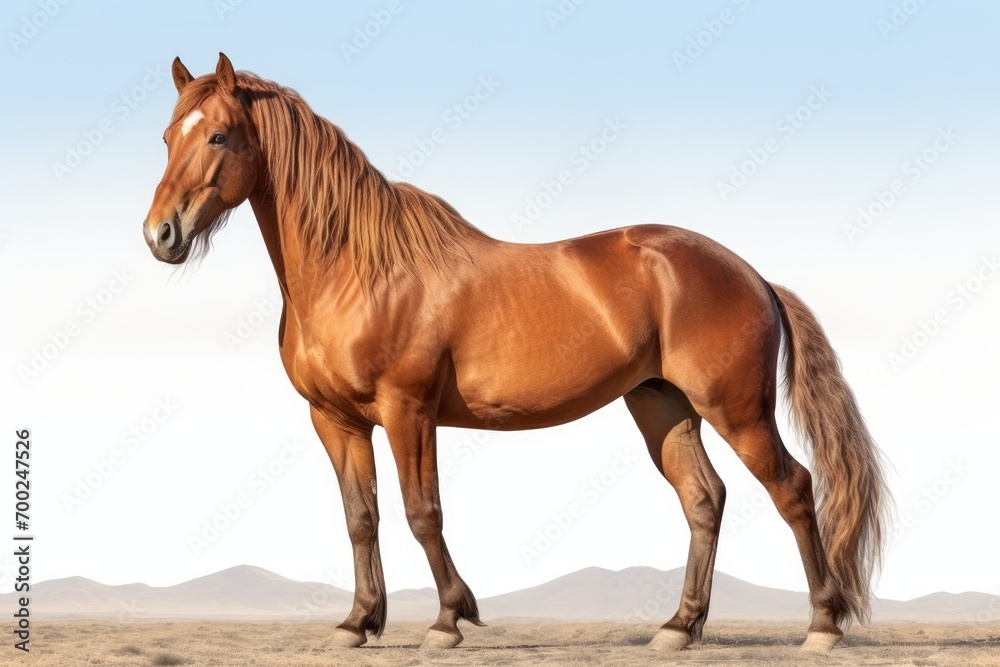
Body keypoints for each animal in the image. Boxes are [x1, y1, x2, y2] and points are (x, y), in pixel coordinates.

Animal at [142, 53, 890, 652]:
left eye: (218, 134)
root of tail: (752, 274)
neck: (358, 269)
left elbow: (422, 512)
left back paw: (822, 627)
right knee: (704, 499)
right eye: (168, 136)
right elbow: (362, 518)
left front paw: (448, 620)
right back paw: (679, 628)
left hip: (736, 410)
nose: (160, 235)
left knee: (793, 489)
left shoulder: (408, 411)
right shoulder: (335, 419)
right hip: (663, 406)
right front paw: (357, 623)